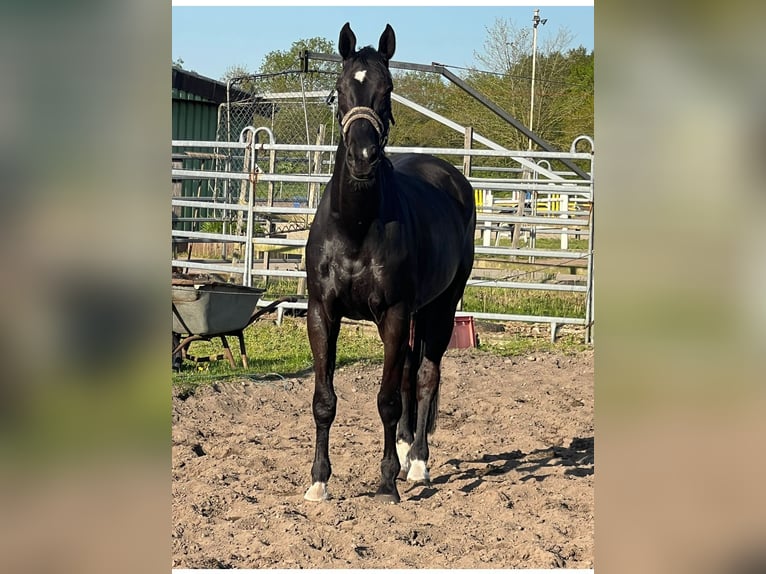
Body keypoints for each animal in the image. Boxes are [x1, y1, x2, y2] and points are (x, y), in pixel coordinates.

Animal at [304, 22, 474, 504]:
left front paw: (386, 482)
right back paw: (403, 447)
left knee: (426, 375)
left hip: (441, 307)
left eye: (389, 88)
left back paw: (416, 463)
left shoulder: (396, 313)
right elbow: (325, 400)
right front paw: (319, 481)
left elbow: (387, 399)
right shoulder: (322, 312)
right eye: (340, 87)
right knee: (410, 373)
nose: (363, 157)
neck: (356, 225)